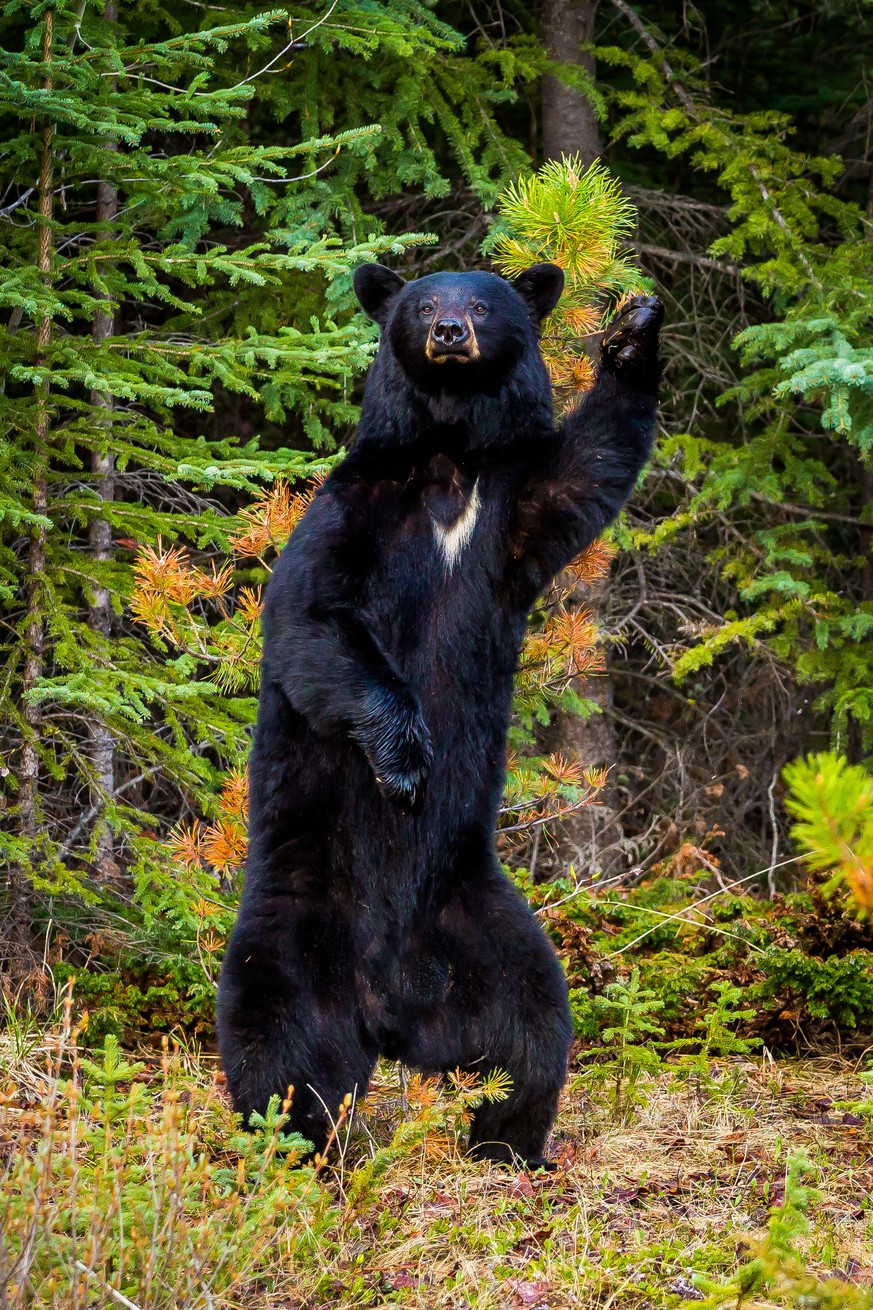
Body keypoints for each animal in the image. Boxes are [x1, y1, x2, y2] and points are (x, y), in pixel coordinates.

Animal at [217, 265, 660, 1168]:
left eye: (482, 302)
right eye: (423, 303)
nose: (449, 333)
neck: (450, 461)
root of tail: (389, 1009)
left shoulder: (513, 508)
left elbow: (587, 467)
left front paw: (634, 329)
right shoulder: (352, 510)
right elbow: (313, 619)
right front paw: (404, 758)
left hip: (481, 923)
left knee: (532, 1032)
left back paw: (513, 1144)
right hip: (294, 928)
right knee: (280, 1053)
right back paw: (296, 1153)